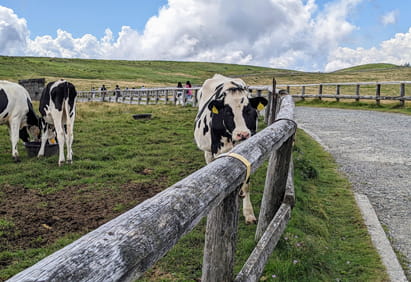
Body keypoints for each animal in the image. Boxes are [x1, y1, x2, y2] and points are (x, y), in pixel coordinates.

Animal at [195, 75, 268, 225]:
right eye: (228, 112)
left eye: (249, 110)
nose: (242, 134)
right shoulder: (218, 150)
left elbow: (246, 184)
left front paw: (248, 212)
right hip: (208, 151)